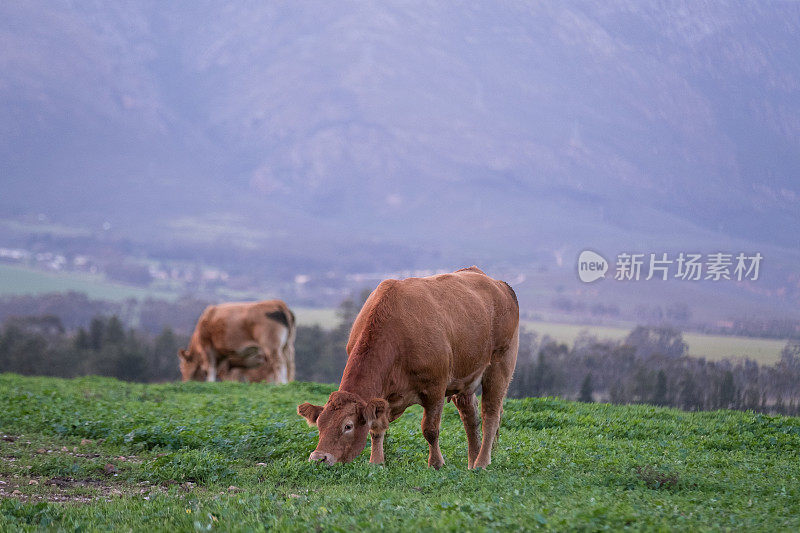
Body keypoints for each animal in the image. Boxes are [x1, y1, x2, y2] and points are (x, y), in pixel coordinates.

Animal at [298, 268, 520, 468]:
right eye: (320, 424)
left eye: (347, 426)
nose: (318, 458)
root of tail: (499, 284)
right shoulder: (381, 398)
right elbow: (376, 428)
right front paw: (376, 462)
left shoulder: (435, 387)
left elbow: (430, 430)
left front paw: (436, 463)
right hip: (465, 378)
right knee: (470, 416)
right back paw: (472, 462)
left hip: (500, 366)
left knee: (490, 415)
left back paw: (482, 462)